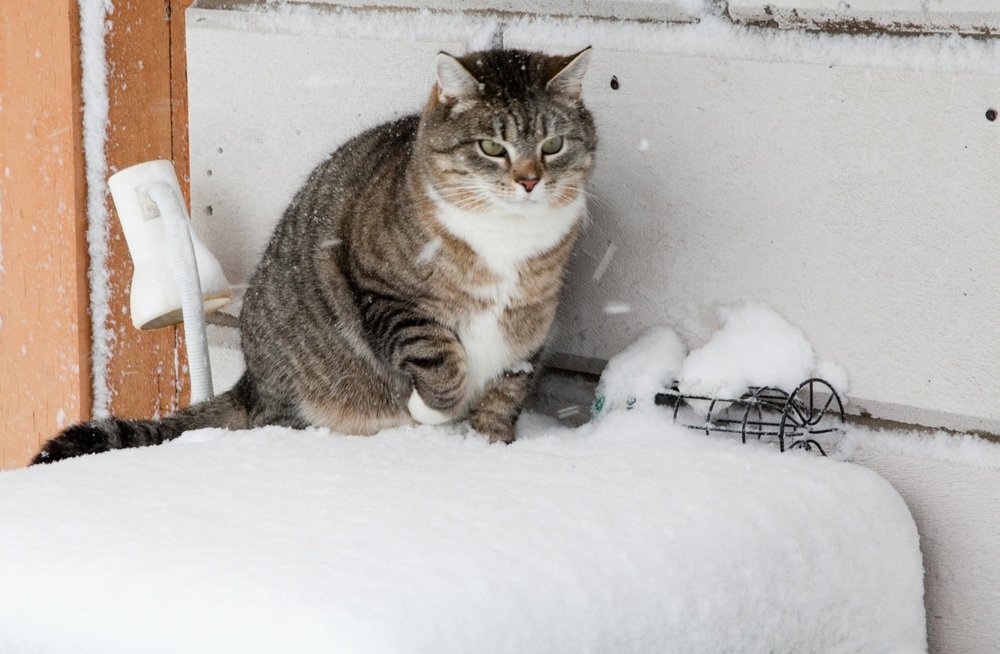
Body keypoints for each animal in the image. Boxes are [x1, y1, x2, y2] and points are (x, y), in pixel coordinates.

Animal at [29, 47, 592, 466]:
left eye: (554, 145)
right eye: (492, 148)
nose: (529, 181)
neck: (507, 240)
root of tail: (251, 382)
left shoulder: (532, 320)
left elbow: (507, 390)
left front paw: (491, 450)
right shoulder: (383, 293)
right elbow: (440, 359)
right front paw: (429, 411)